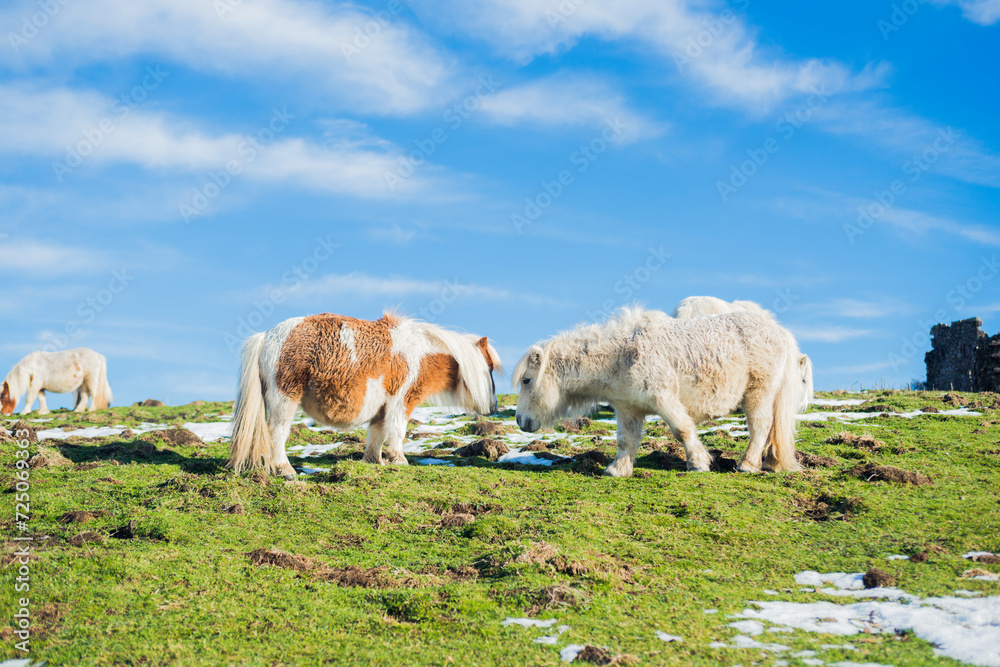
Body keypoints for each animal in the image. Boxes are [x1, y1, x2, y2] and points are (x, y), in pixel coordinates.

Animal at [228, 312, 502, 479]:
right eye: (488, 367)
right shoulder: (401, 401)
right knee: (277, 433)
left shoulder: (383, 406)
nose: (493, 407)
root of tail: (266, 336)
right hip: (285, 400)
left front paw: (374, 461)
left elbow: (377, 435)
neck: (420, 353)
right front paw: (399, 461)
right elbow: (397, 431)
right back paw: (286, 471)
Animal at [512, 307, 802, 476]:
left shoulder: (663, 397)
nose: (520, 421)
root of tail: (779, 330)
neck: (620, 355)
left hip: (758, 392)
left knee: (760, 426)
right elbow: (625, 440)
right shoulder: (627, 408)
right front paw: (617, 470)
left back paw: (747, 465)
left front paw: (698, 463)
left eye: (526, 380)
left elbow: (682, 429)